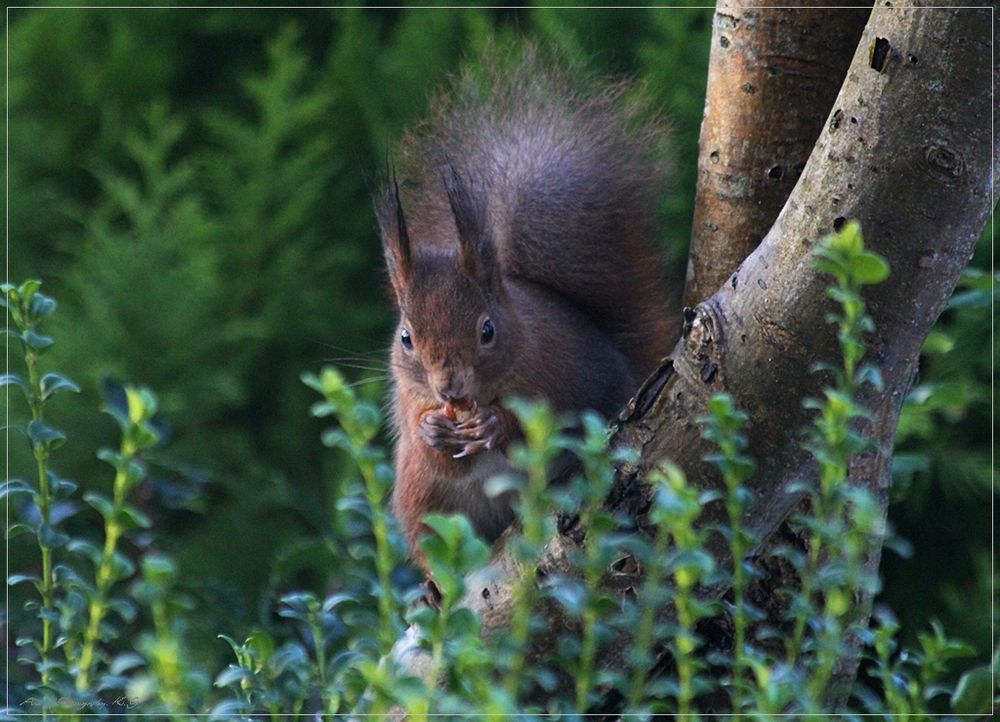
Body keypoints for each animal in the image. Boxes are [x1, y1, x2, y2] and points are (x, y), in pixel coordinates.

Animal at [376, 49, 680, 556]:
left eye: (487, 330)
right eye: (406, 338)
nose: (449, 388)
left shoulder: (556, 371)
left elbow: (547, 420)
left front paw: (494, 426)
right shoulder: (407, 397)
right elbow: (434, 453)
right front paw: (432, 431)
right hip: (423, 501)